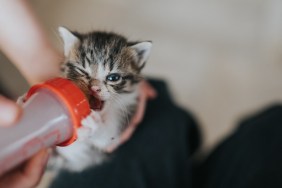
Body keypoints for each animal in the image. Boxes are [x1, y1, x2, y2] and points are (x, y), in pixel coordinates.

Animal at [51, 27, 153, 173]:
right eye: (81, 71)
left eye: (113, 78)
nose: (94, 88)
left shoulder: (122, 121)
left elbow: (107, 138)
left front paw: (93, 126)